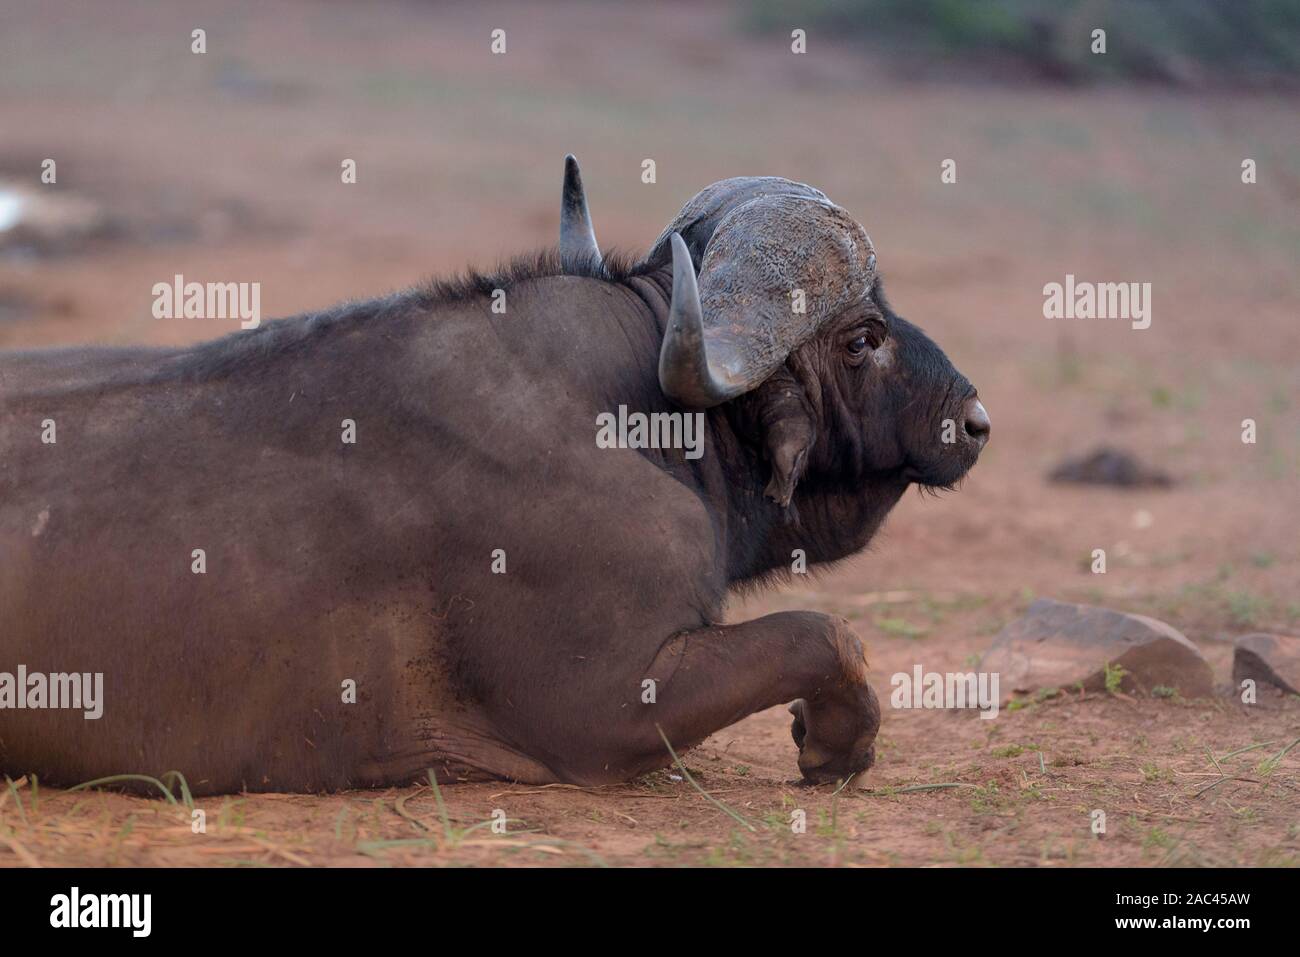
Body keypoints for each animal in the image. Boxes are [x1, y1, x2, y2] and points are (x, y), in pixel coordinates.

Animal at [0, 157, 982, 790]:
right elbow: (824, 633)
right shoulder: (608, 710)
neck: (644, 419)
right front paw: (836, 743)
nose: (974, 421)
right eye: (862, 337)